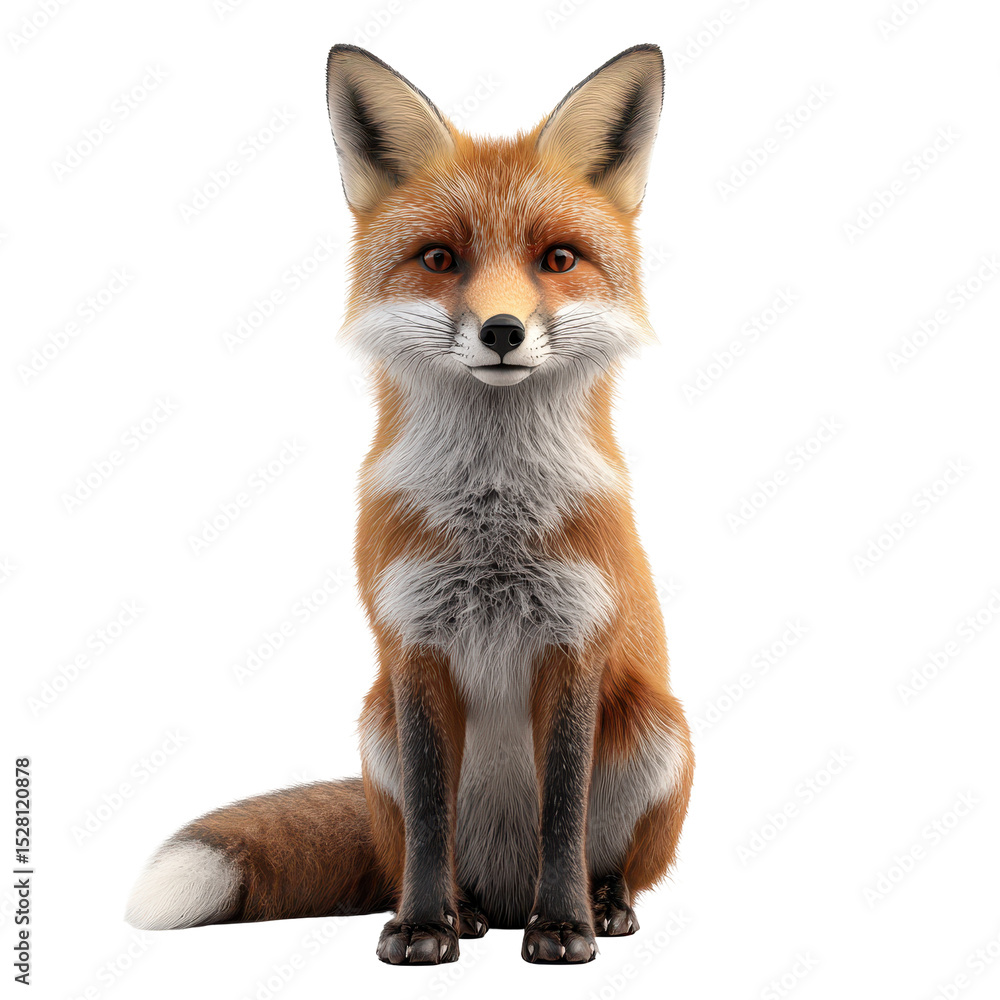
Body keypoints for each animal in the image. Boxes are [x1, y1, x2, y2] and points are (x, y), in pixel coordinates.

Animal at [125, 42, 694, 966]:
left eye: (558, 259)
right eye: (439, 259)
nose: (502, 331)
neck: (494, 521)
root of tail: (506, 887)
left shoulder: (575, 643)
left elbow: (564, 813)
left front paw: (566, 928)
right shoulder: (413, 647)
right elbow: (431, 814)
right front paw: (424, 926)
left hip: (659, 729)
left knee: (612, 859)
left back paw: (601, 904)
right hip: (376, 728)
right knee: (420, 849)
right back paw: (462, 910)